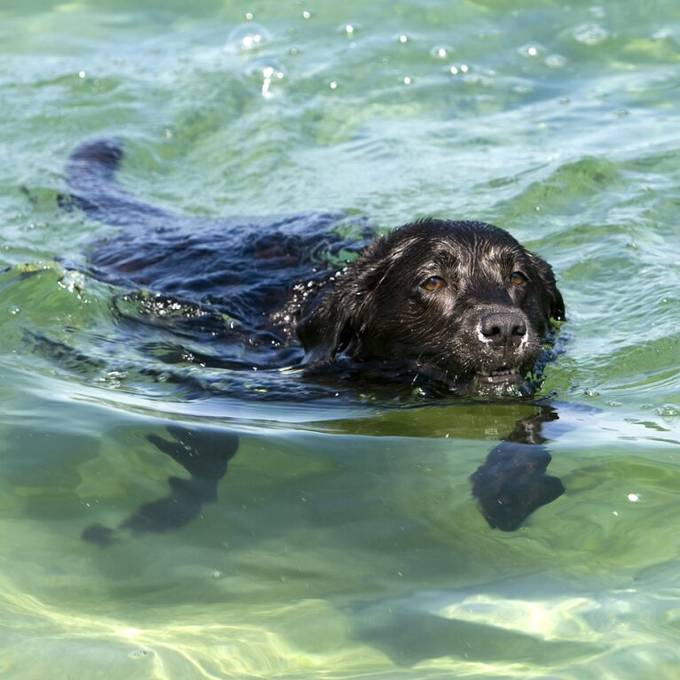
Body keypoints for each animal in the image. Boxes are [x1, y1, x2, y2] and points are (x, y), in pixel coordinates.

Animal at [62, 141, 564, 544]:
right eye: (433, 281)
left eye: (518, 277)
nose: (505, 328)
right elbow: (209, 450)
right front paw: (158, 516)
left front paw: (508, 490)